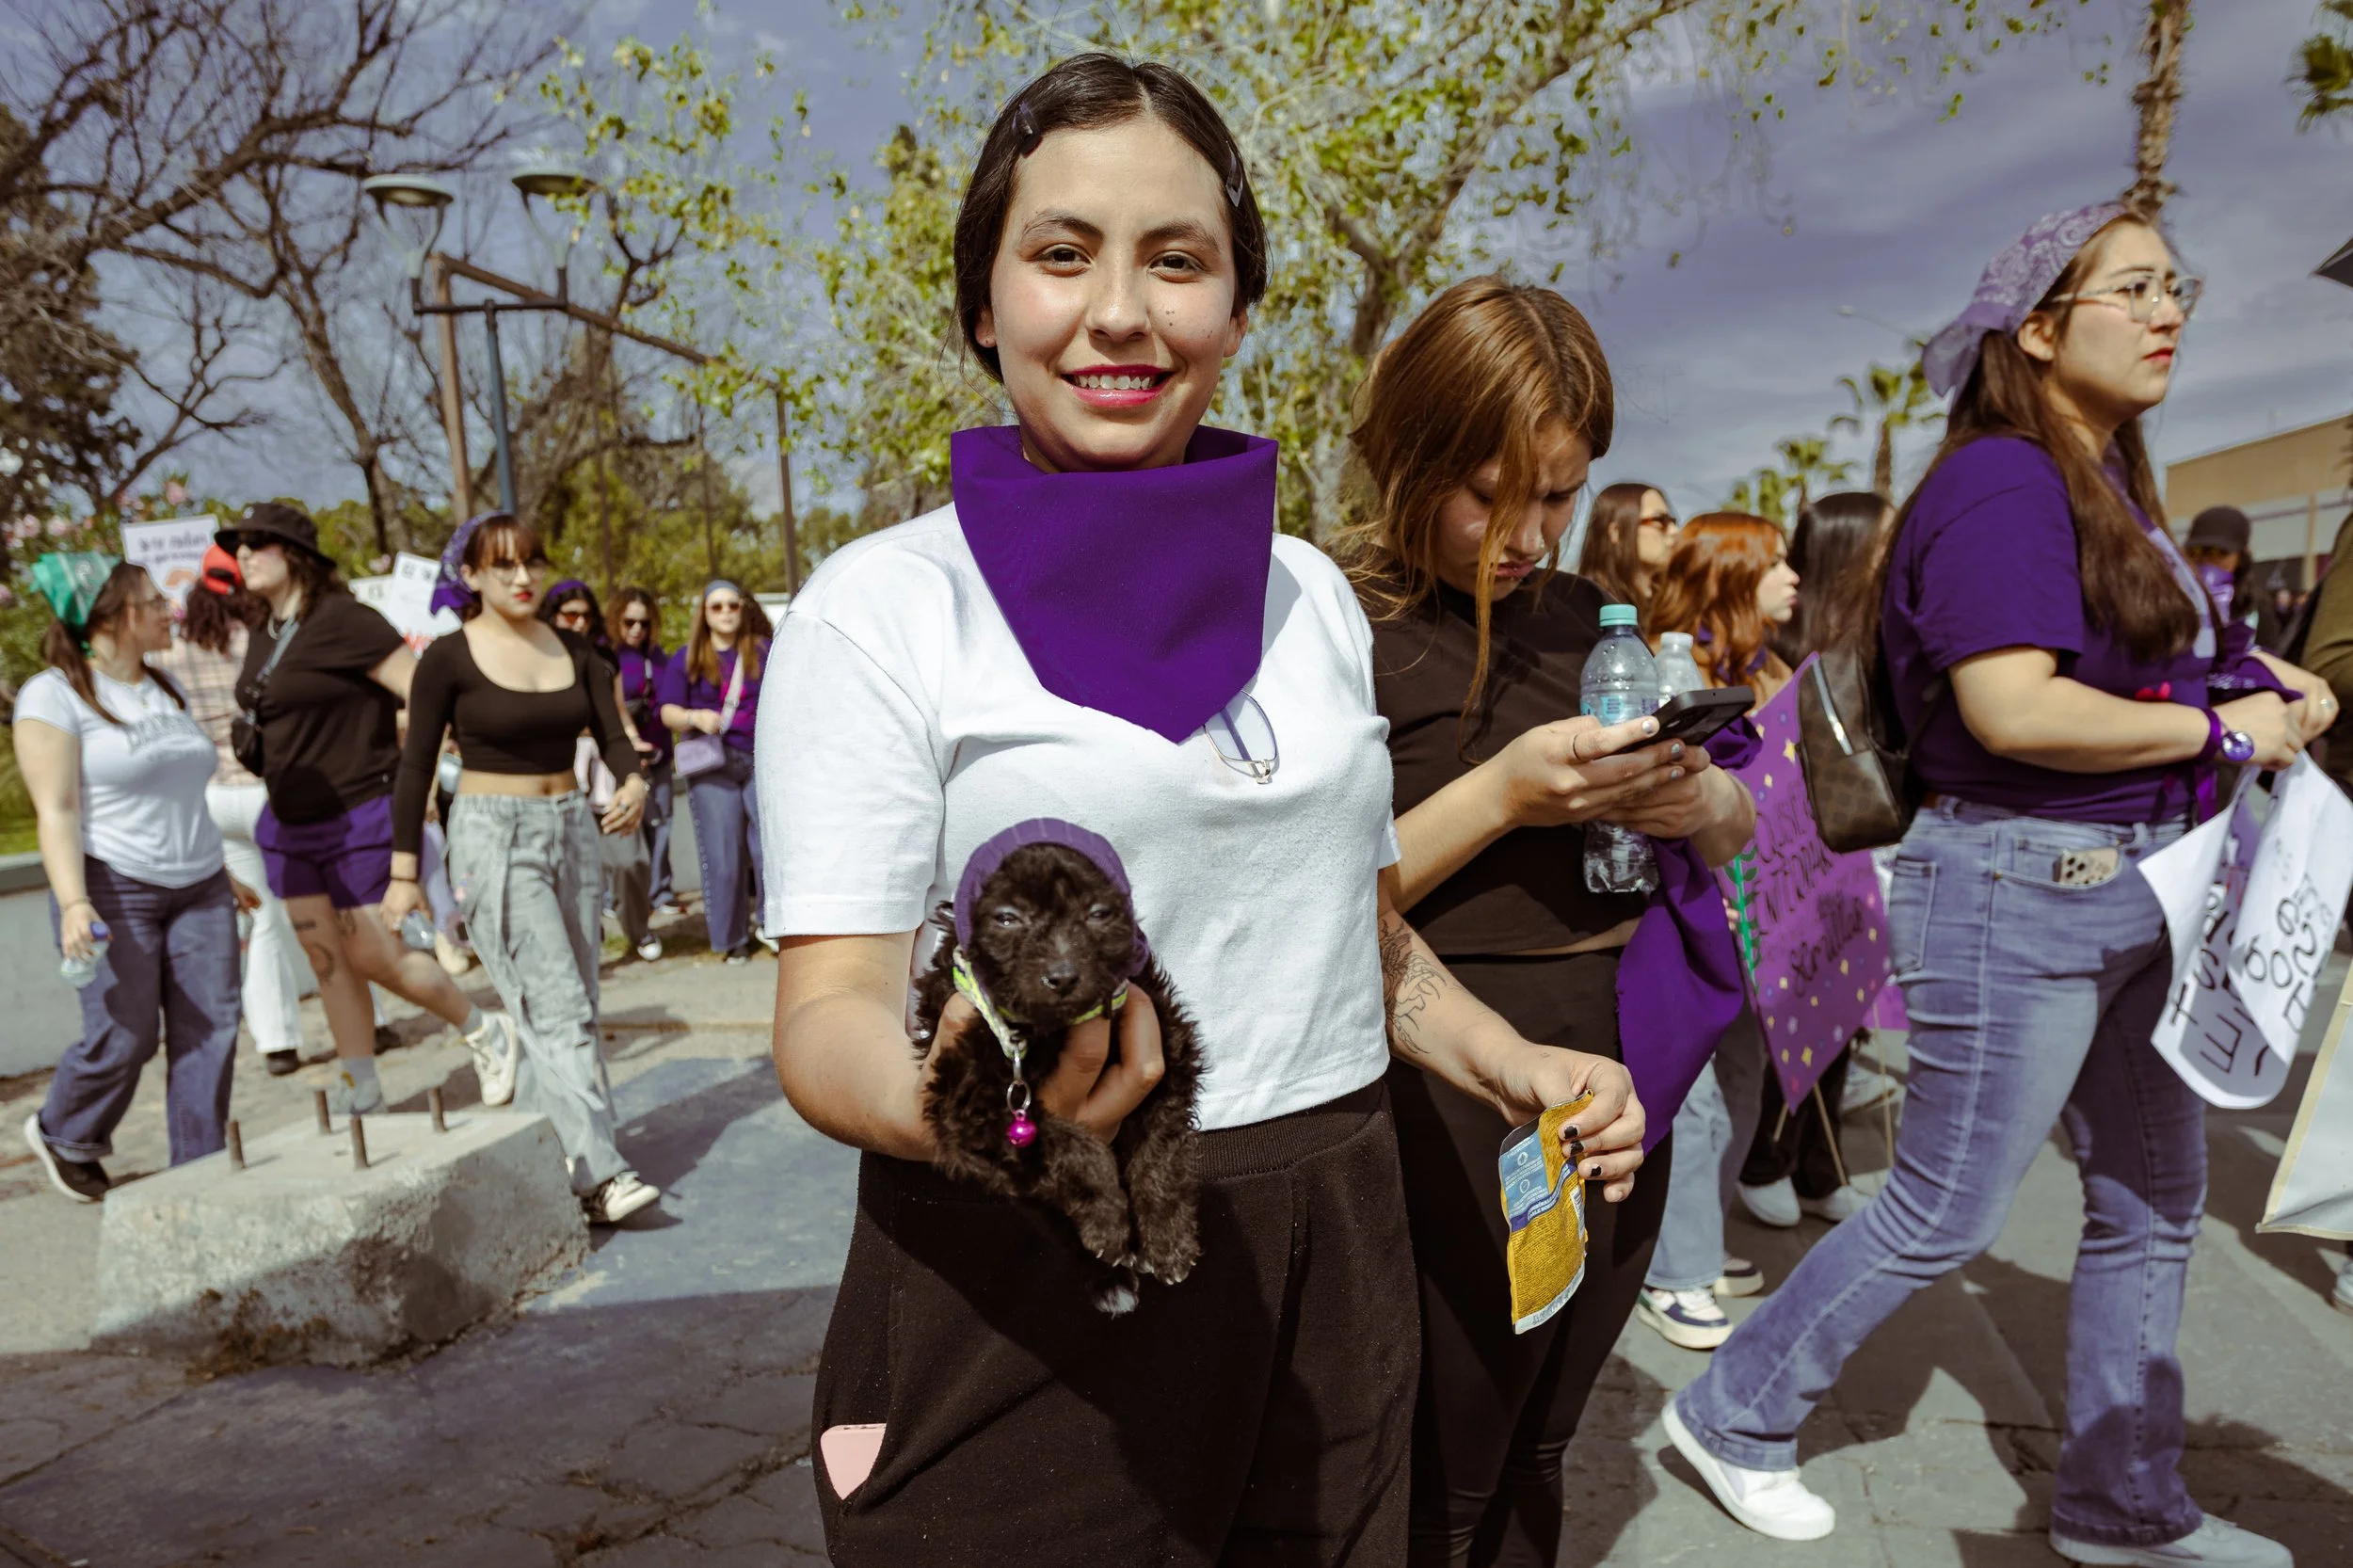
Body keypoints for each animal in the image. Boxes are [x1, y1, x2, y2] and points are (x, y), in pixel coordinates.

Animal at [912, 819, 1203, 1315]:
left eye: (1099, 913)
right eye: (1008, 918)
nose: (1063, 977)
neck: (1056, 1027)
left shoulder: (1169, 1057)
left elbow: (1160, 1150)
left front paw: (1168, 1239)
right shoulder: (969, 1107)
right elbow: (1070, 1140)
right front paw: (1107, 1217)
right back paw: (1109, 1275)